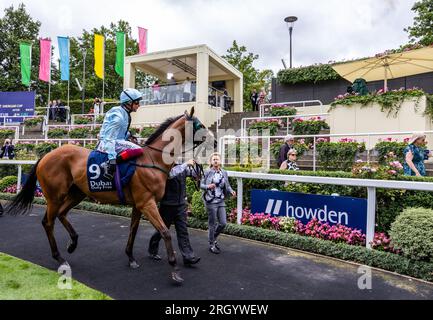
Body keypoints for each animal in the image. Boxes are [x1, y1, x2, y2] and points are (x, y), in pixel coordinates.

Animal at [6, 107, 209, 282]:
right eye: (199, 124)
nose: (212, 139)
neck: (153, 160)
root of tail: (46, 156)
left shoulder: (138, 204)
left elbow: (133, 230)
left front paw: (131, 258)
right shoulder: (146, 202)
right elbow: (165, 232)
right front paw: (175, 270)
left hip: (77, 193)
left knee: (61, 214)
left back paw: (73, 243)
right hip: (54, 196)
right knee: (48, 222)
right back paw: (59, 257)